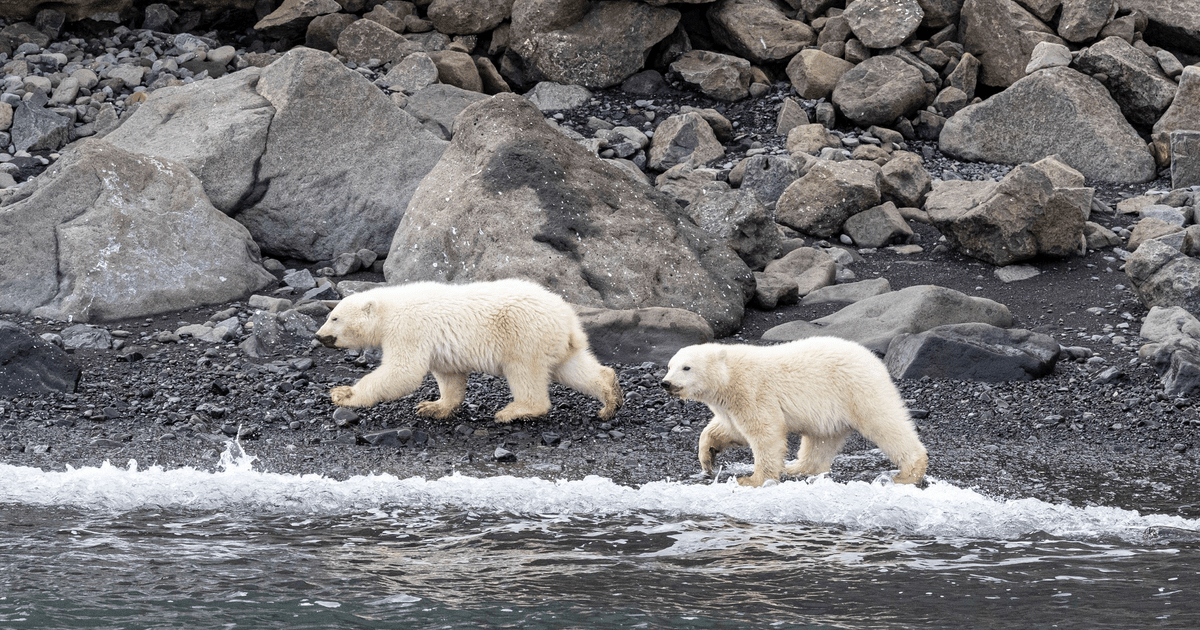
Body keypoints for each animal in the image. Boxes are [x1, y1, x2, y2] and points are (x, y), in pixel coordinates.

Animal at [314, 278, 624, 422]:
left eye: (335, 318)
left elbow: (402, 372)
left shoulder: (408, 329)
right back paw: (609, 399)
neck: (389, 309)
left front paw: (344, 394)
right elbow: (449, 375)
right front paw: (433, 406)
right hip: (555, 341)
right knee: (573, 368)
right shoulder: (437, 346)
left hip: (524, 334)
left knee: (524, 371)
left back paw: (514, 411)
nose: (319, 337)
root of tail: (568, 318)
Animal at [657, 336, 926, 484]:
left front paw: (752, 480)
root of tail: (874, 359)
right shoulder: (731, 403)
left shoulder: (752, 391)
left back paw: (908, 472)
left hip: (857, 389)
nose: (666, 383)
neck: (729, 376)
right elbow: (730, 430)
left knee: (885, 423)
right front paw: (708, 458)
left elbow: (765, 432)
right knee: (820, 441)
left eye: (687, 367)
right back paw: (797, 468)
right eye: (669, 366)